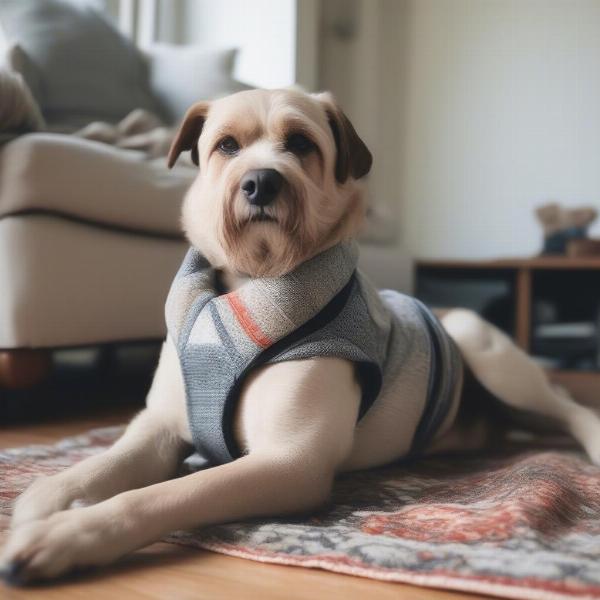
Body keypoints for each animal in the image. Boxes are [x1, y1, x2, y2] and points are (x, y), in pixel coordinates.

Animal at [1, 88, 600, 580]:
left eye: (300, 143)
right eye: (226, 145)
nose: (261, 181)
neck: (247, 287)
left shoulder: (290, 461)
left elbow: (163, 496)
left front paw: (69, 534)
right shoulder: (160, 428)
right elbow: (86, 470)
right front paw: (40, 503)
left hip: (484, 347)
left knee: (566, 405)